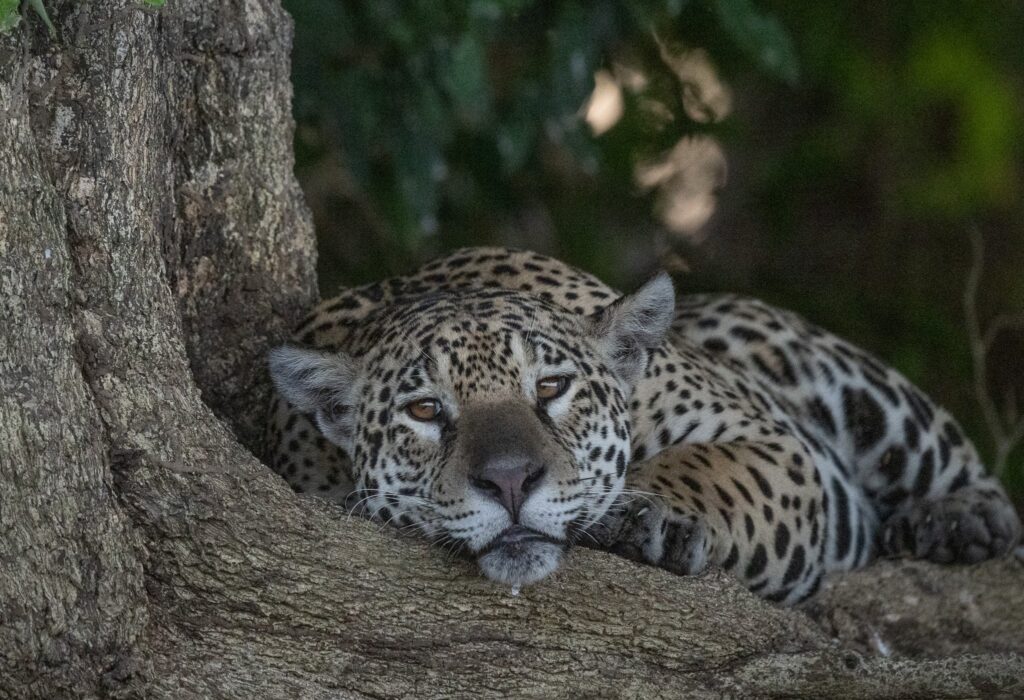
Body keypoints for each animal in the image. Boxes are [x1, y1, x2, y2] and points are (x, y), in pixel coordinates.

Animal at [266, 247, 1021, 604]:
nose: (509, 482)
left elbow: (709, 468)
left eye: (551, 388)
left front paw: (645, 514)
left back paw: (956, 521)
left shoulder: (770, 440)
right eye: (425, 411)